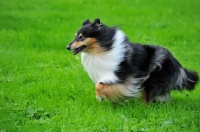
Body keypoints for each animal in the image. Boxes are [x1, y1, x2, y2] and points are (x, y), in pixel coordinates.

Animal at [67, 18, 198, 103]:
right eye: (75, 36)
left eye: (81, 37)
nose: (67, 47)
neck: (102, 49)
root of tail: (177, 63)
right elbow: (100, 85)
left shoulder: (120, 77)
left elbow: (99, 85)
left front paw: (100, 97)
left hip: (153, 77)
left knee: (148, 97)